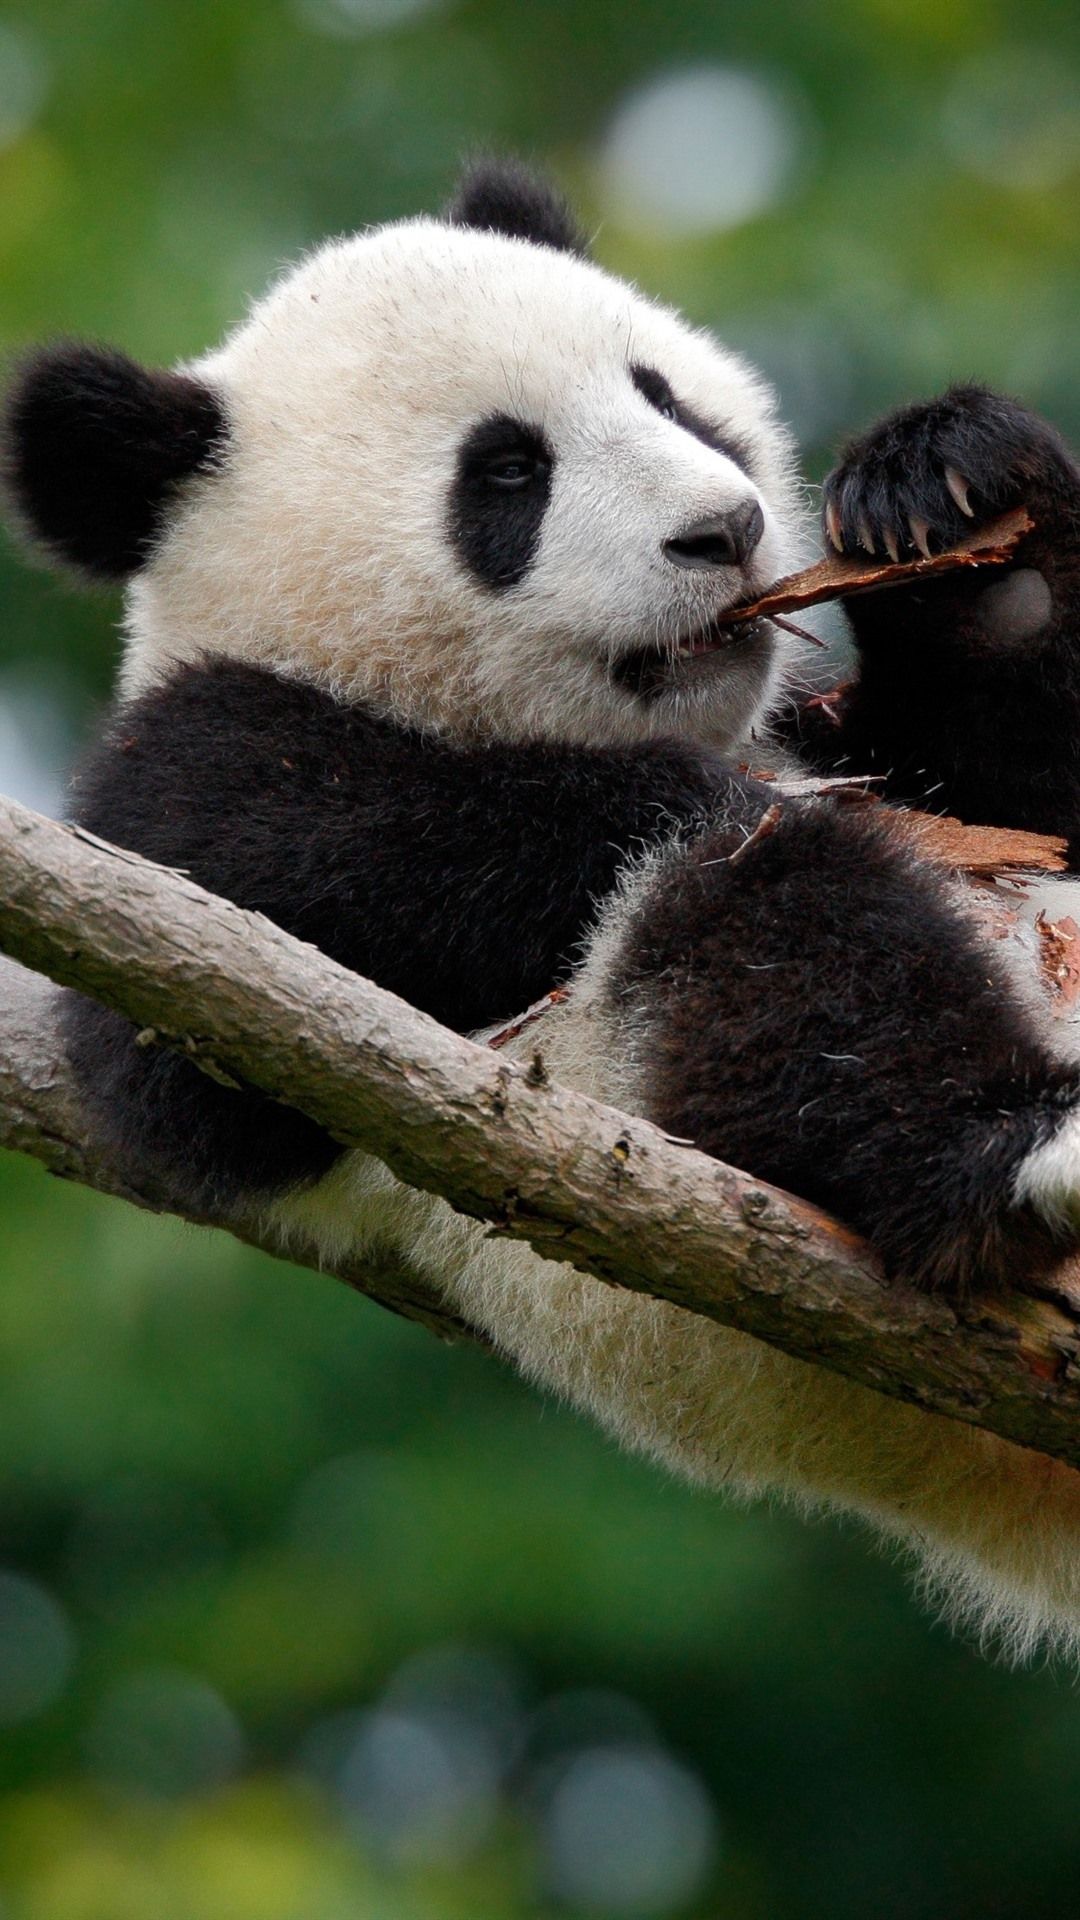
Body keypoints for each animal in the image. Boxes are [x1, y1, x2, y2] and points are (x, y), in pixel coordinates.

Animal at [5, 157, 1080, 1657]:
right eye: (508, 474)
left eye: (663, 394)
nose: (726, 530)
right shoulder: (171, 817)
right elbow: (200, 1042)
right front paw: (664, 793)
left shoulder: (887, 739)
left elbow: (1029, 767)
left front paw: (957, 495)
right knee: (775, 945)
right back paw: (1012, 1149)